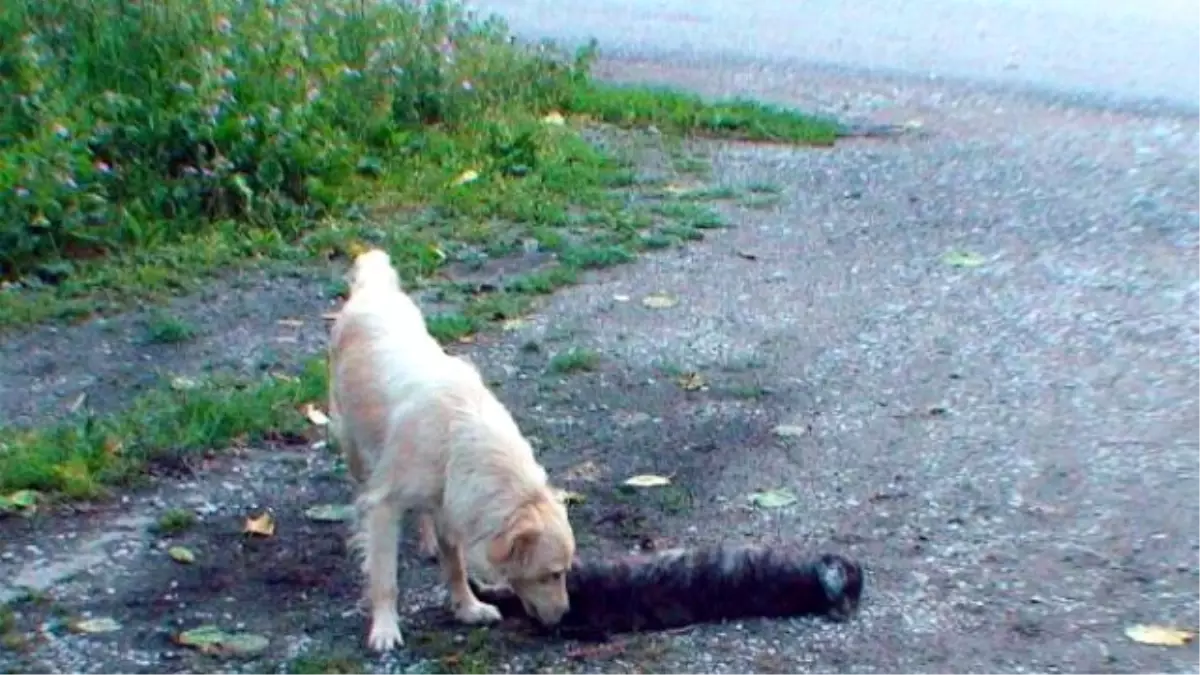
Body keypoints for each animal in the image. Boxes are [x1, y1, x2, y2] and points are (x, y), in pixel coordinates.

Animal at [326, 249, 573, 648]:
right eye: (551, 574)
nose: (565, 615)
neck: (459, 432)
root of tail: (373, 289)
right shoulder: (385, 505)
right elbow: (385, 577)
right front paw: (385, 628)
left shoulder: (450, 501)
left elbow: (454, 563)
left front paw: (468, 608)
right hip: (354, 445)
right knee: (361, 484)